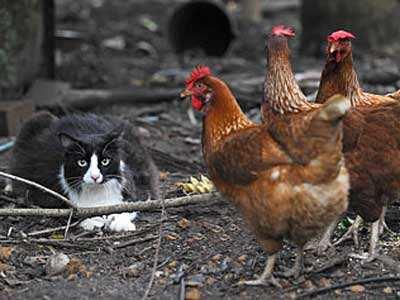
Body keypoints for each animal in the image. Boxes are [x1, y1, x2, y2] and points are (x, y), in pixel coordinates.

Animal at [10, 112, 159, 232]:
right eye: (82, 162)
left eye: (105, 161)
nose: (95, 176)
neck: (96, 192)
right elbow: (76, 211)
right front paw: (92, 221)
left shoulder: (141, 185)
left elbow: (130, 205)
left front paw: (120, 223)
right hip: (34, 121)